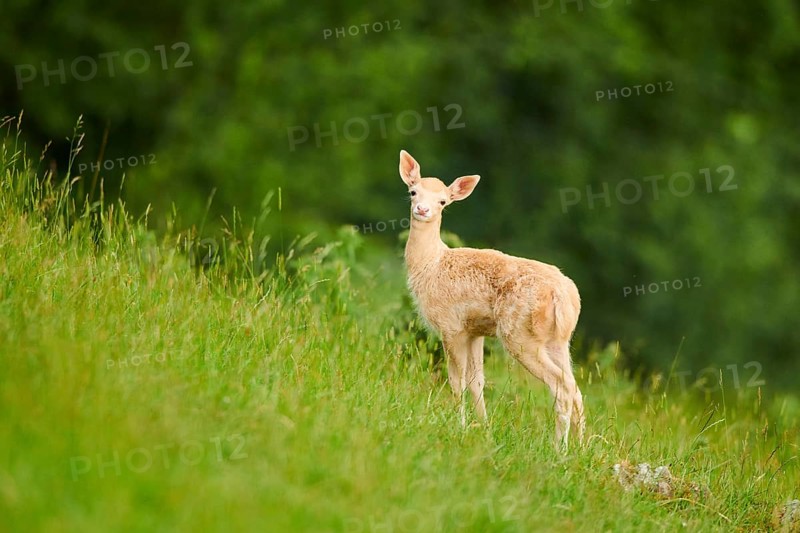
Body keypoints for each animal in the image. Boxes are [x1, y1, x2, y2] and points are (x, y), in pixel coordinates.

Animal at [399, 150, 585, 450]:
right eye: (413, 191)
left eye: (443, 201)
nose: (423, 210)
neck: (431, 265)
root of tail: (564, 298)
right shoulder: (474, 330)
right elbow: (477, 381)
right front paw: (483, 429)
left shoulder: (451, 325)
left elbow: (456, 380)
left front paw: (458, 426)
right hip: (559, 340)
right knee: (575, 388)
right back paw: (581, 447)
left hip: (520, 334)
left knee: (562, 386)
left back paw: (559, 448)